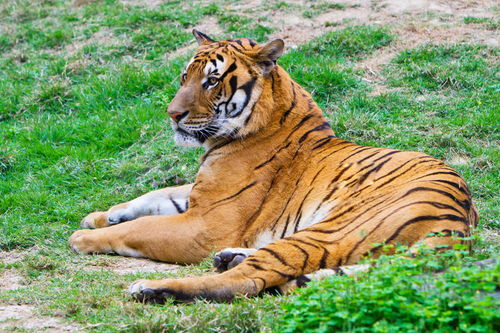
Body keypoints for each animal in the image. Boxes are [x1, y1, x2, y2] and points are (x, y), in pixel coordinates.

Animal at [68, 29, 478, 302]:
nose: (172, 115)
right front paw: (100, 215)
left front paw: (83, 237)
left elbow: (140, 229)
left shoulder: (206, 225)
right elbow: (156, 195)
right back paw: (230, 257)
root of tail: (459, 223)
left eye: (212, 81)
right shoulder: (201, 194)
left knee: (249, 280)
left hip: (332, 227)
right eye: (185, 77)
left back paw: (152, 287)